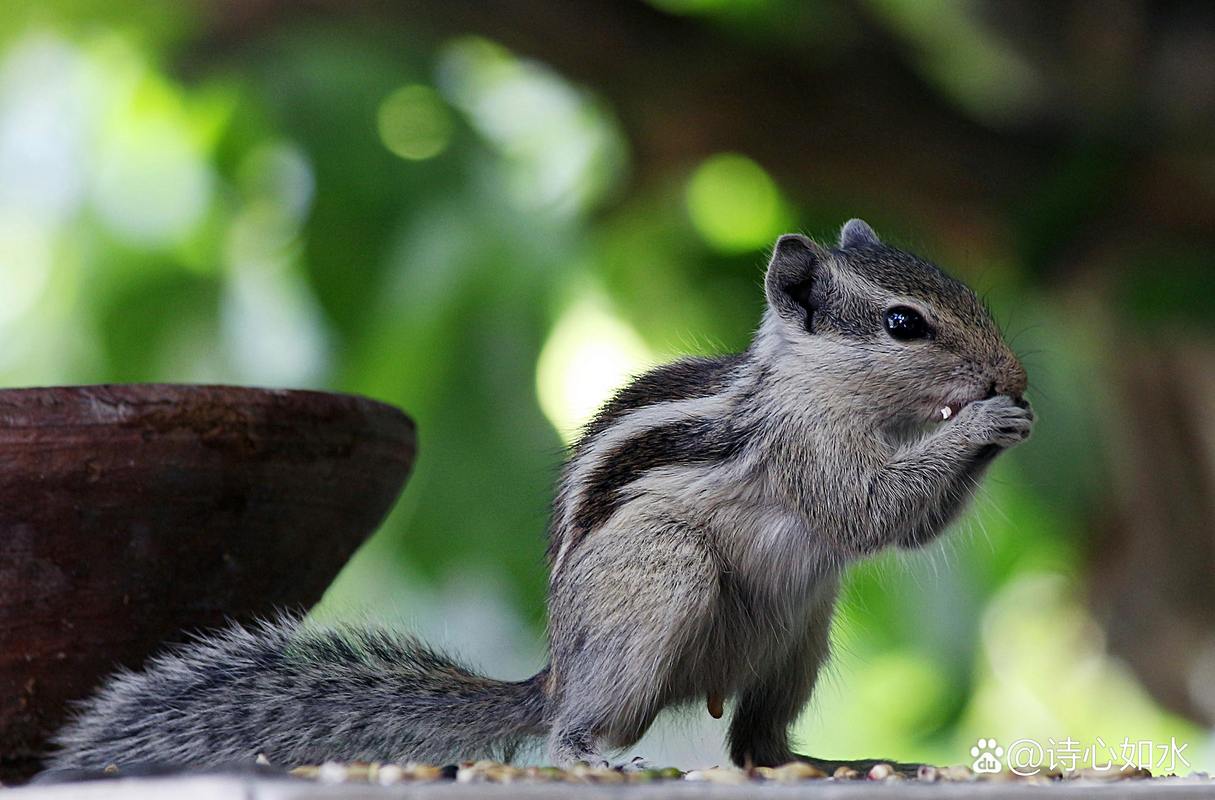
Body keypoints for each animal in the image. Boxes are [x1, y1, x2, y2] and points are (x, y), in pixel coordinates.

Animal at [47, 217, 1035, 773]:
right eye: (903, 323)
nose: (1012, 374)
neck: (810, 381)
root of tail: (557, 669)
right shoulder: (806, 450)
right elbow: (875, 510)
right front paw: (984, 424)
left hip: (798, 639)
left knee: (755, 746)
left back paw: (837, 764)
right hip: (660, 585)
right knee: (576, 730)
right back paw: (595, 757)